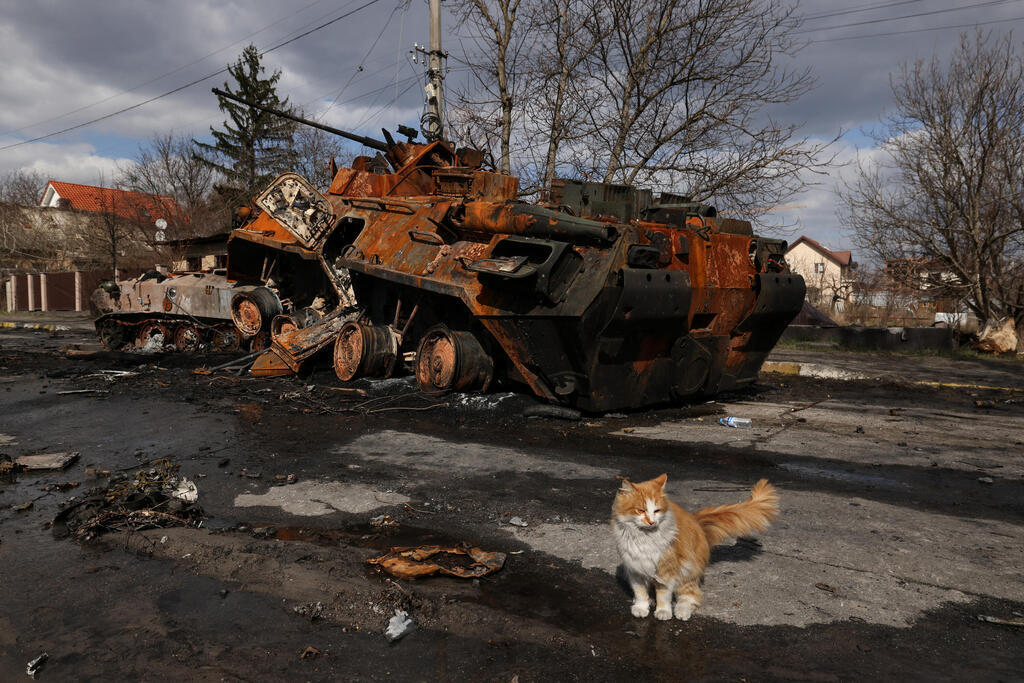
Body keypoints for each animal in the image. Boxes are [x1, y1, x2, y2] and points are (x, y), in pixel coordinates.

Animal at [614, 475, 774, 618]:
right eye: (641, 510)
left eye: (657, 511)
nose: (652, 522)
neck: (644, 537)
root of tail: (696, 522)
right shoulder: (634, 569)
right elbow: (640, 592)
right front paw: (641, 607)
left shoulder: (667, 569)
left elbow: (664, 595)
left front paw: (663, 612)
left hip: (687, 571)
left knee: (692, 597)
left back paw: (681, 611)